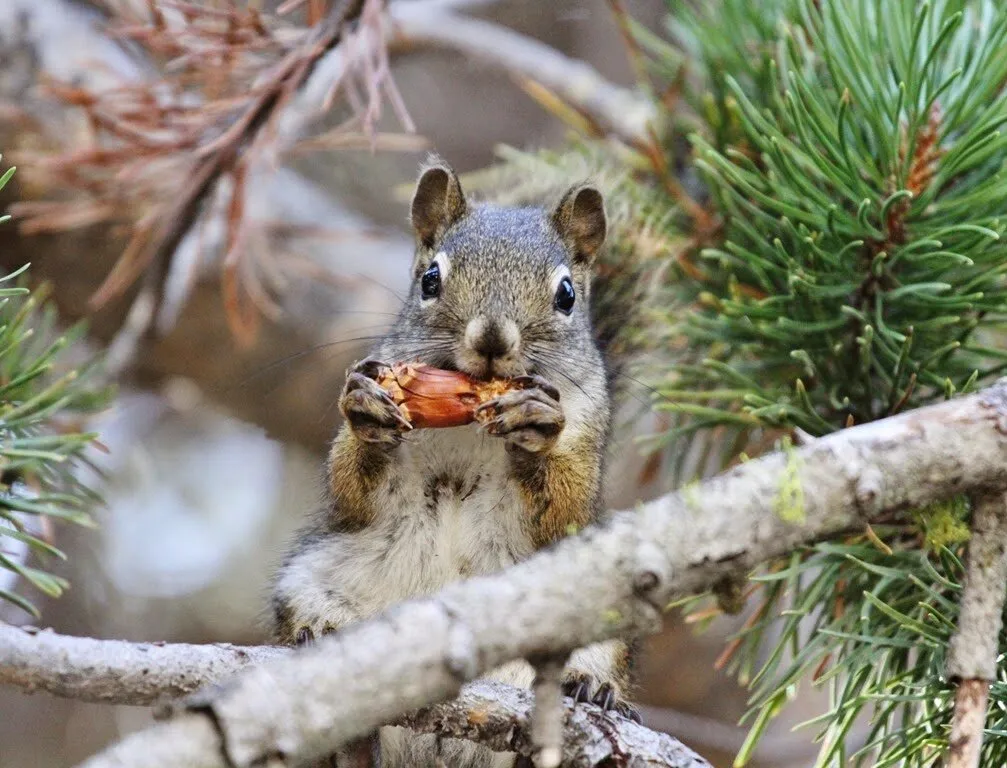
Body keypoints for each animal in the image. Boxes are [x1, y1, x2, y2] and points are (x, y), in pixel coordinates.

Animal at [271, 156, 637, 767]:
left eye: (566, 294)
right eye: (430, 280)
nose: (491, 338)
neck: (470, 420)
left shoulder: (588, 428)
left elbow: (567, 506)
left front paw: (536, 425)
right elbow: (350, 488)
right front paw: (369, 412)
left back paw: (589, 689)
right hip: (307, 582)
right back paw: (327, 652)